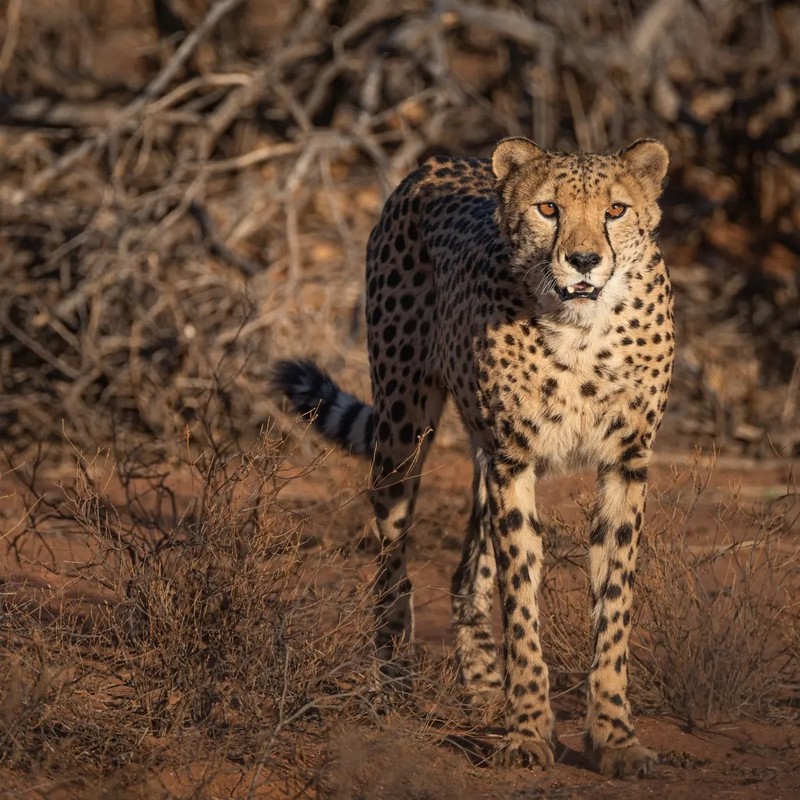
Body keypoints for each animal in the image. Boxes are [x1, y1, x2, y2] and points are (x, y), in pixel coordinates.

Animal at [272, 136, 672, 776]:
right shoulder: (515, 460)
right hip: (404, 426)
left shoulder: (624, 463)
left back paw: (483, 687)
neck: (582, 330)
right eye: (548, 209)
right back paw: (396, 679)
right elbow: (521, 602)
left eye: (616, 210)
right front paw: (528, 730)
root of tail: (439, 163)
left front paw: (614, 735)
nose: (584, 261)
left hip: (480, 452)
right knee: (392, 565)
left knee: (465, 571)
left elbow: (614, 606)